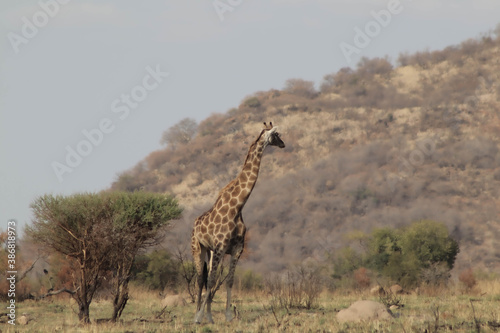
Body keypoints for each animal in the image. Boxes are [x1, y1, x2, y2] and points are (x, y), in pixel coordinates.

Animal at [191, 121, 286, 322]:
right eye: (276, 135)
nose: (283, 144)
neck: (237, 208)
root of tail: (195, 224)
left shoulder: (236, 249)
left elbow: (229, 280)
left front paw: (227, 316)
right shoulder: (221, 247)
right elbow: (212, 281)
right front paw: (202, 316)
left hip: (210, 251)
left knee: (208, 277)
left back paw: (207, 316)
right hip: (198, 247)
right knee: (201, 279)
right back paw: (197, 315)